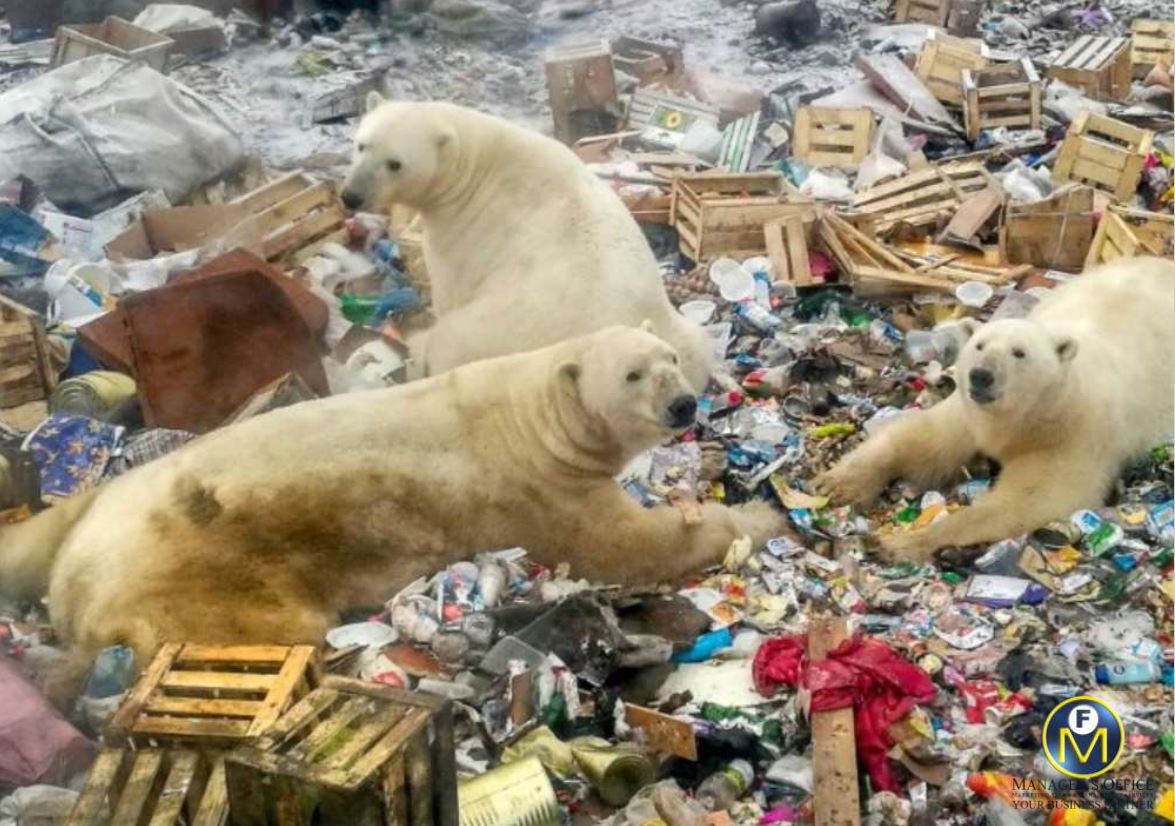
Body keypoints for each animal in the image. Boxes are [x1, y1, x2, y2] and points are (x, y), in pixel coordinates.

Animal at [0, 326, 787, 694]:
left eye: (669, 358)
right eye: (631, 374)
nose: (682, 404)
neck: (535, 417)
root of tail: (77, 591)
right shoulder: (538, 490)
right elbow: (625, 545)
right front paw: (758, 521)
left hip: (95, 504)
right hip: (199, 577)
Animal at [339, 98, 715, 391]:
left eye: (395, 163)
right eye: (361, 145)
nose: (351, 196)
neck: (475, 160)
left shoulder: (461, 230)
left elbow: (448, 290)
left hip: (489, 335)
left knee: (450, 343)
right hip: (677, 331)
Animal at [817, 256, 1173, 561]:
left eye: (1019, 353)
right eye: (979, 345)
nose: (981, 375)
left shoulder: (1072, 434)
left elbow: (1032, 498)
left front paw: (899, 543)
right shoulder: (970, 413)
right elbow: (922, 440)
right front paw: (836, 485)